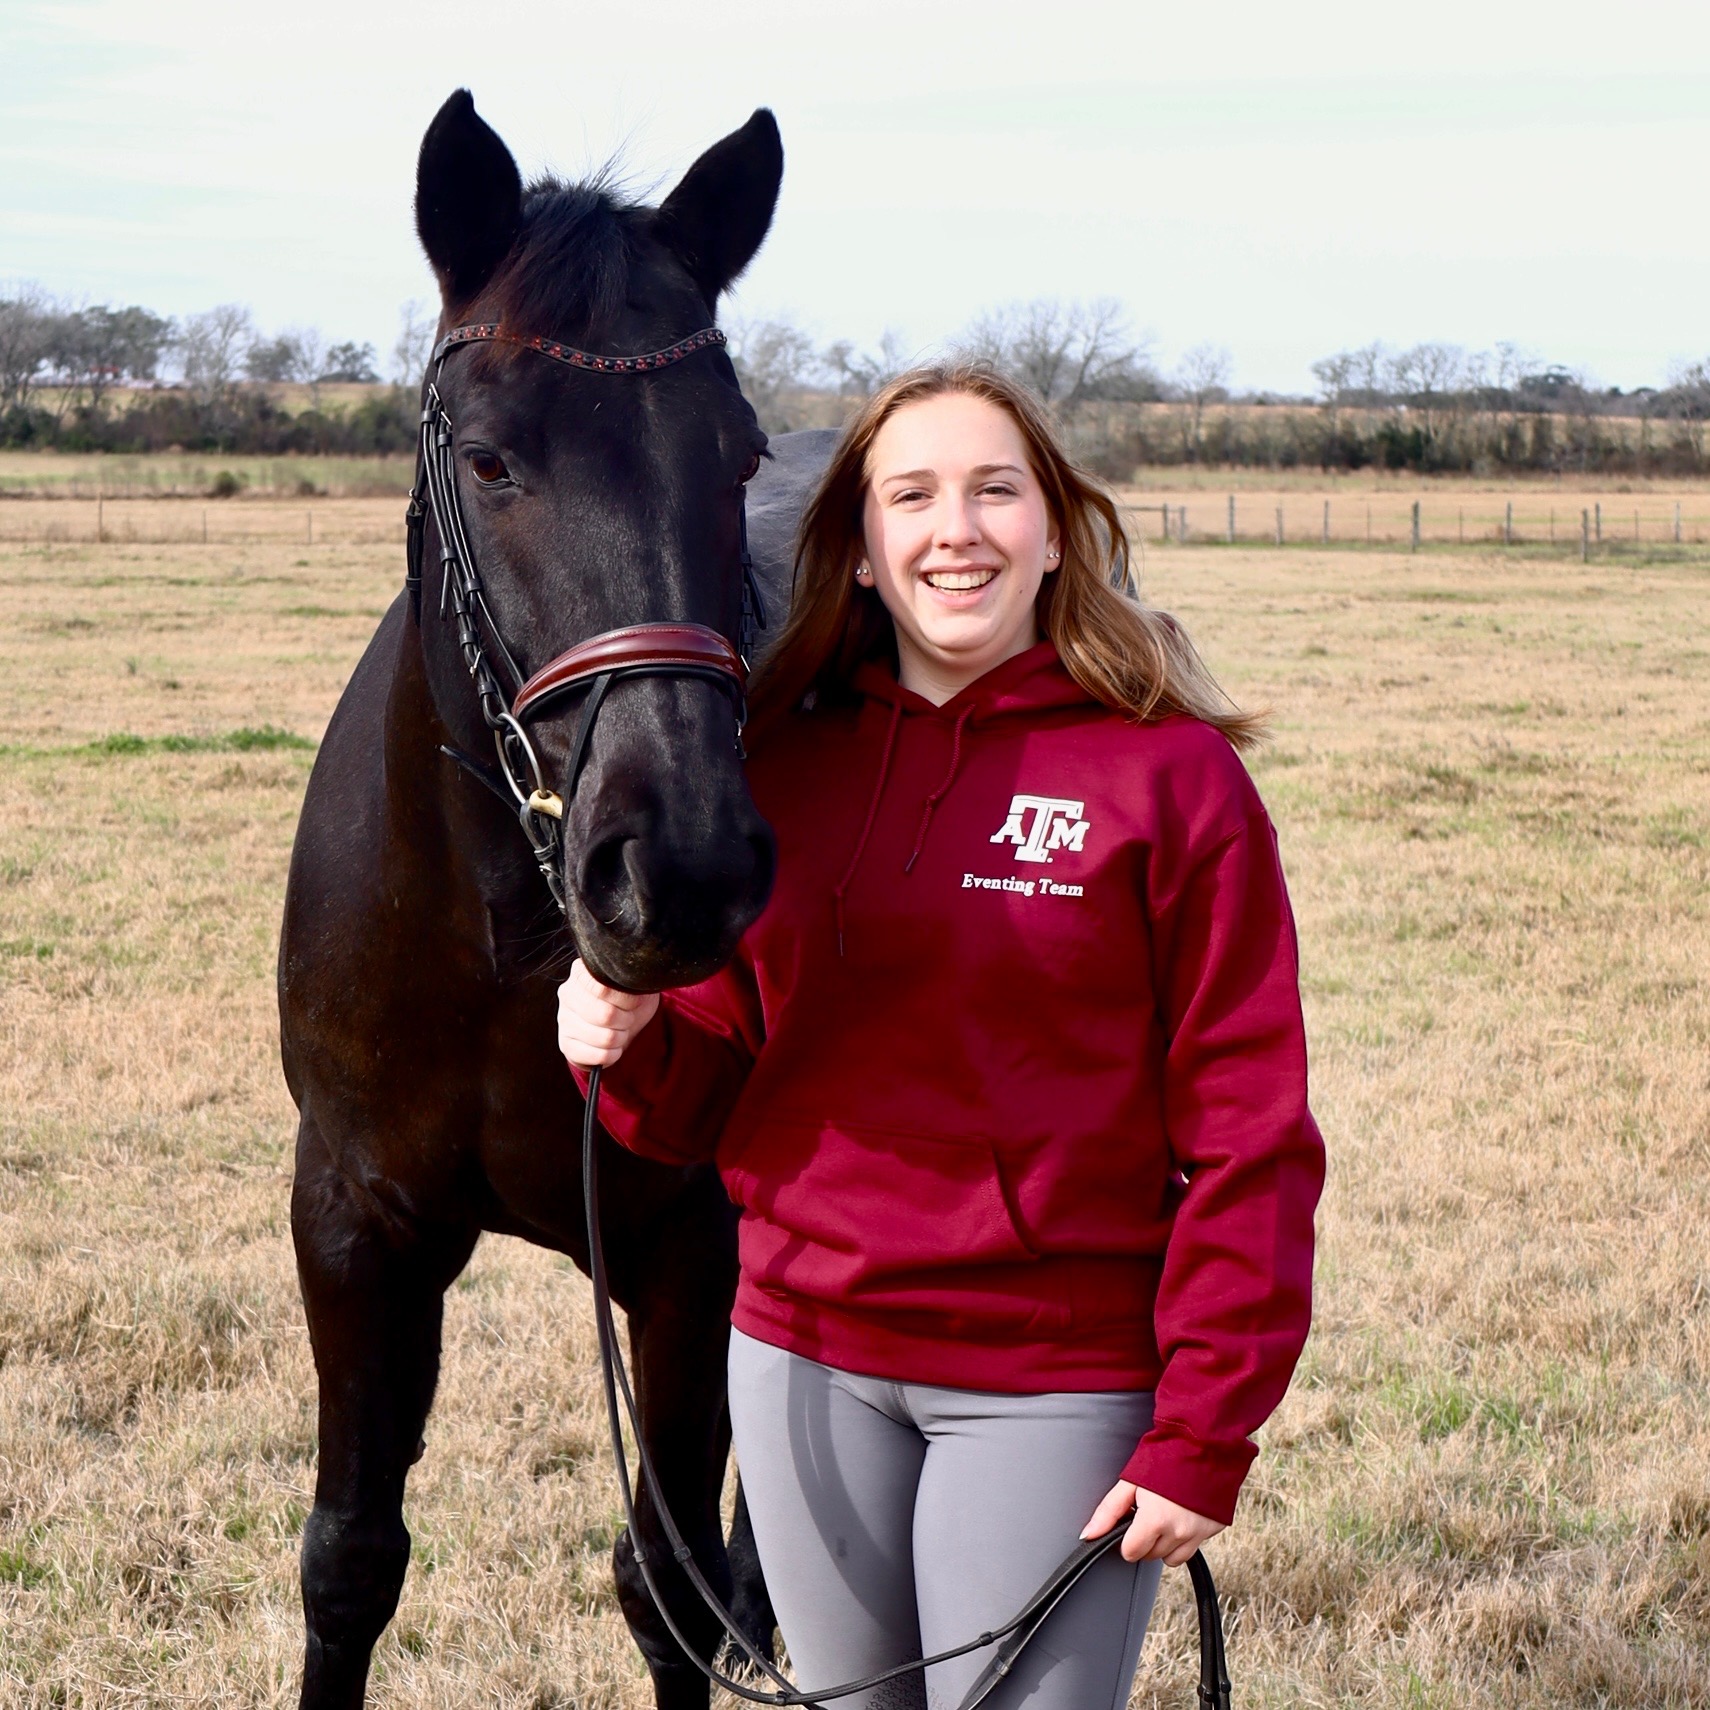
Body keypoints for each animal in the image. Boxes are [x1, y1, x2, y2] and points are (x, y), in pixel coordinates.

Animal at [277, 97, 831, 1710]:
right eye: (487, 459)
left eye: (735, 456)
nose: (679, 865)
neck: (491, 940)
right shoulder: (353, 1225)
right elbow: (351, 1558)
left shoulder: (686, 1258)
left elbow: (665, 1582)